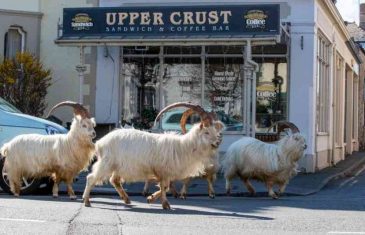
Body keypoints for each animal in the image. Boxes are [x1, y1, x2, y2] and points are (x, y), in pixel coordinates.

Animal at [83, 103, 223, 209]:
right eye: (206, 132)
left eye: (214, 130)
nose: (218, 142)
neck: (183, 147)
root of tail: (100, 142)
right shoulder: (163, 171)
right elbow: (164, 186)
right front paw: (165, 204)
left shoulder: (164, 173)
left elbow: (165, 187)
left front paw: (151, 199)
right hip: (107, 163)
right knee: (91, 178)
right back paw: (87, 201)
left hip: (119, 167)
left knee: (114, 180)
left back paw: (127, 199)